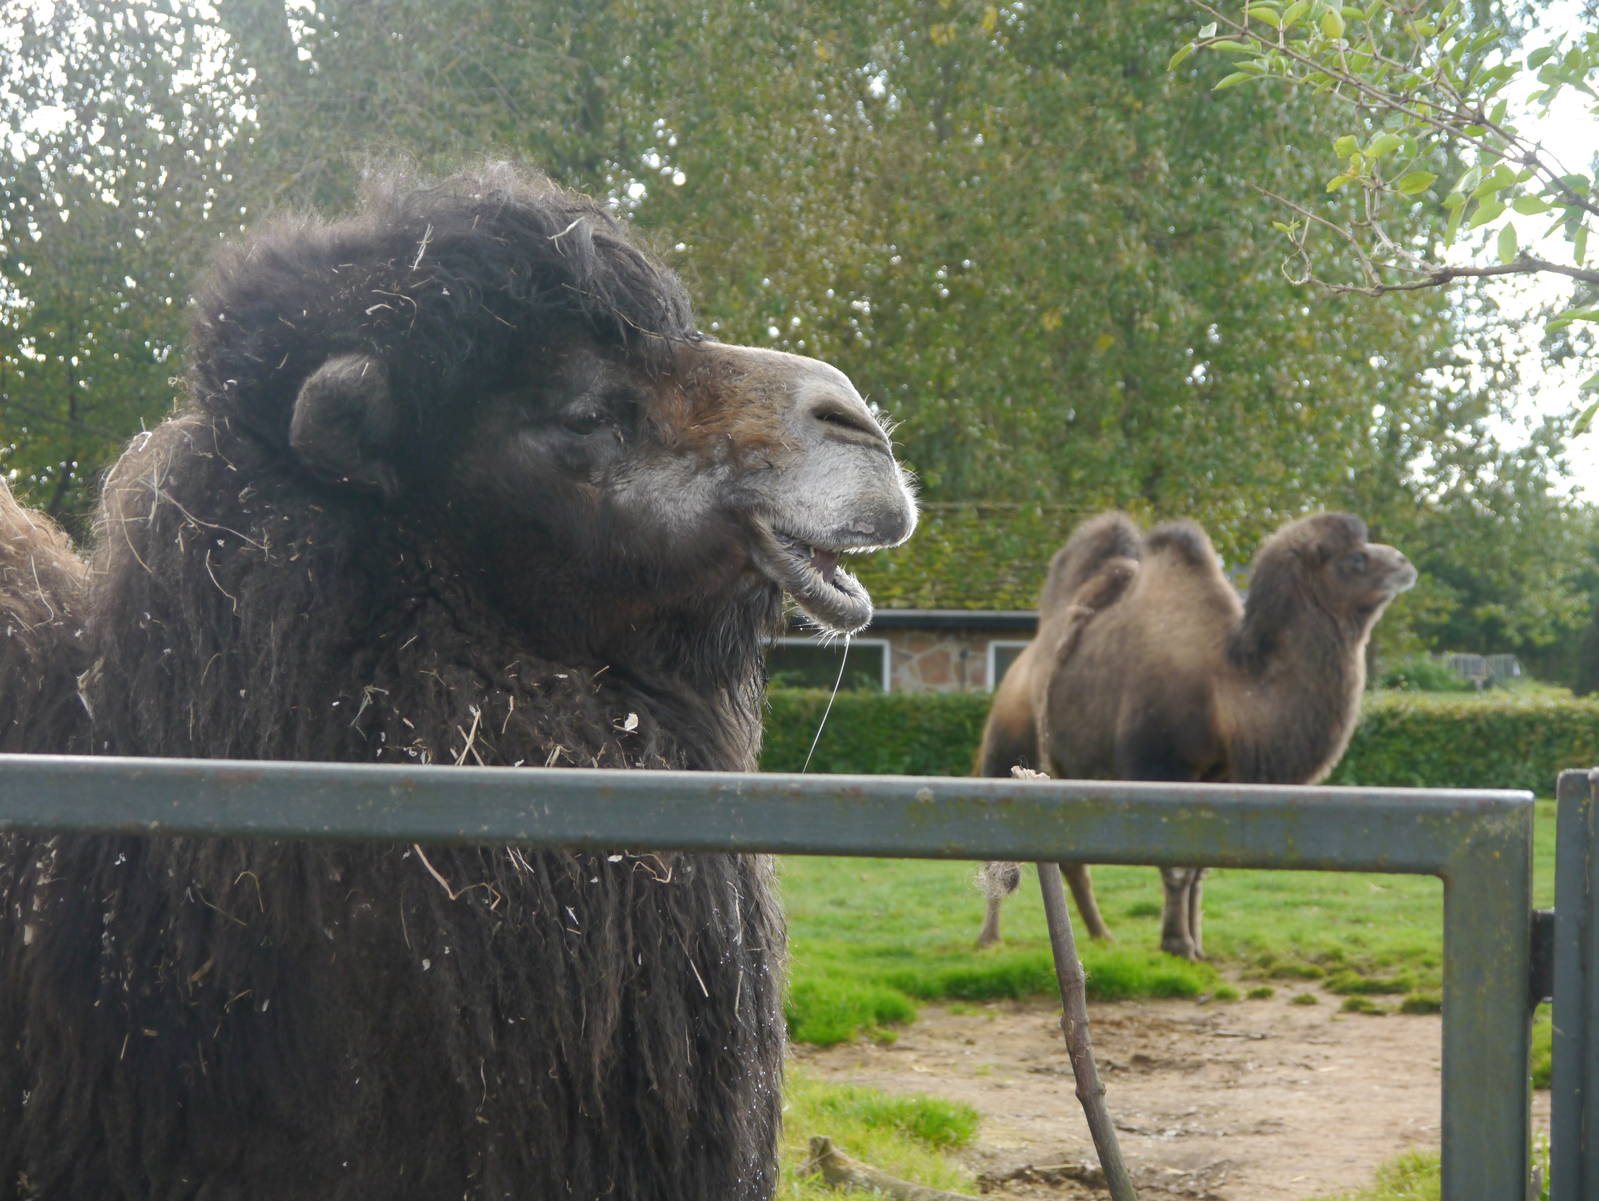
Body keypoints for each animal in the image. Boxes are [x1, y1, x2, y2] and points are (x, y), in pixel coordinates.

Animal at [977, 511, 1415, 960]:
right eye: (1356, 559)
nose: (1404, 563)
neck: (1229, 688)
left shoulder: (1219, 778)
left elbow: (1200, 864)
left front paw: (1197, 945)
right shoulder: (1162, 767)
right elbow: (1177, 864)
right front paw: (1177, 943)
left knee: (1069, 858)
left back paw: (1101, 935)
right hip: (1006, 745)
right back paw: (989, 939)